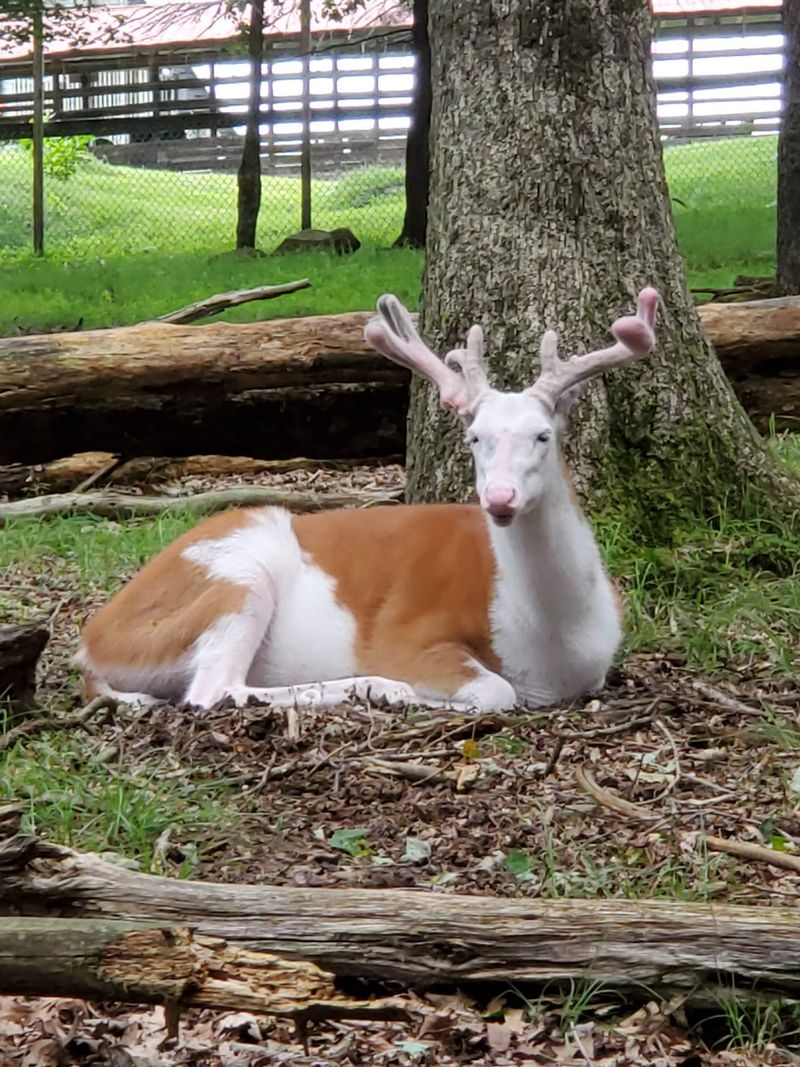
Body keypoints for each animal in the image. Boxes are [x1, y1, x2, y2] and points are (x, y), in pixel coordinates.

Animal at [75, 287, 659, 714]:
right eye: (475, 438)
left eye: (543, 435)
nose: (499, 497)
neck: (554, 644)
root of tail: (91, 643)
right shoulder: (405, 633)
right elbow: (497, 691)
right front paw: (417, 693)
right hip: (234, 578)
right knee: (211, 691)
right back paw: (378, 688)